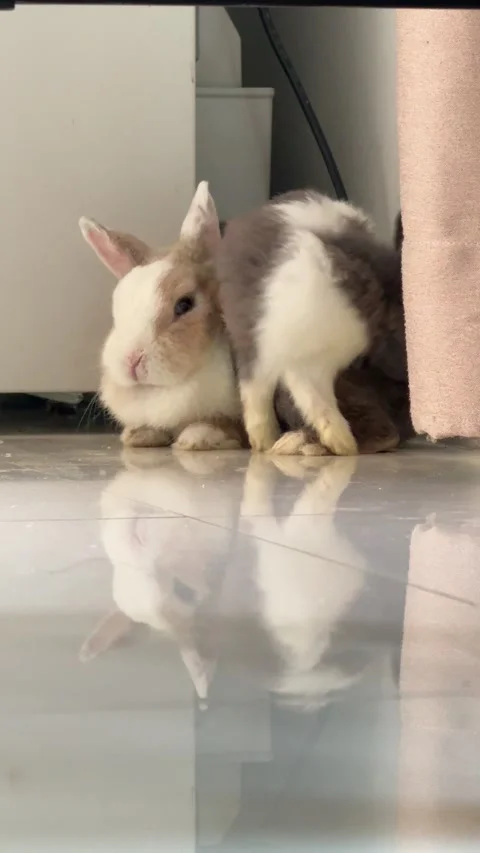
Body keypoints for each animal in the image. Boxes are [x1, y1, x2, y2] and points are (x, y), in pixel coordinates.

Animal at [78, 193, 245, 451]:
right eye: (117, 308)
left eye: (184, 304)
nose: (132, 361)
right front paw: (138, 435)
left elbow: (227, 425)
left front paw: (198, 437)